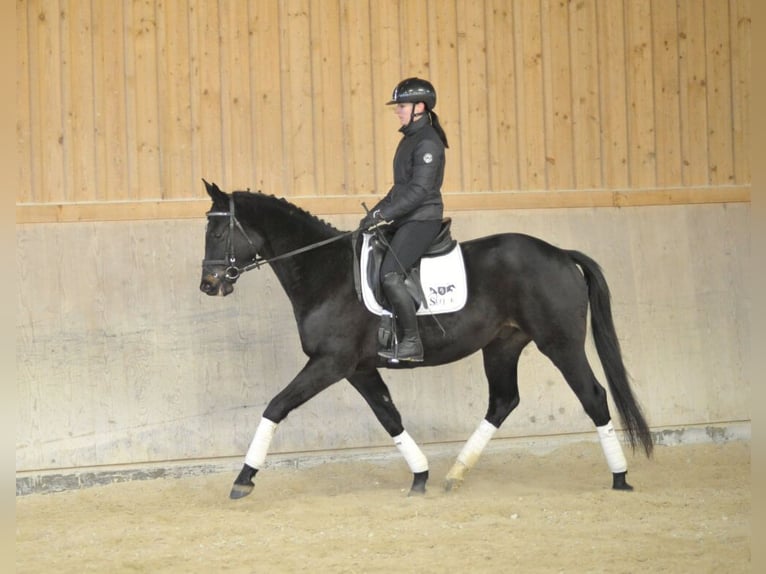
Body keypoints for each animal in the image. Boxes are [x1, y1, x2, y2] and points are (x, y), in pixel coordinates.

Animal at [200, 181, 656, 500]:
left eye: (219, 232)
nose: (209, 285)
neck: (325, 272)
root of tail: (561, 253)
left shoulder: (330, 363)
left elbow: (276, 406)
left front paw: (244, 479)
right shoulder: (359, 369)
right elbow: (389, 416)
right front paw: (420, 476)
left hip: (560, 344)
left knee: (593, 396)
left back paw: (619, 477)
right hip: (502, 346)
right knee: (503, 401)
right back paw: (455, 474)